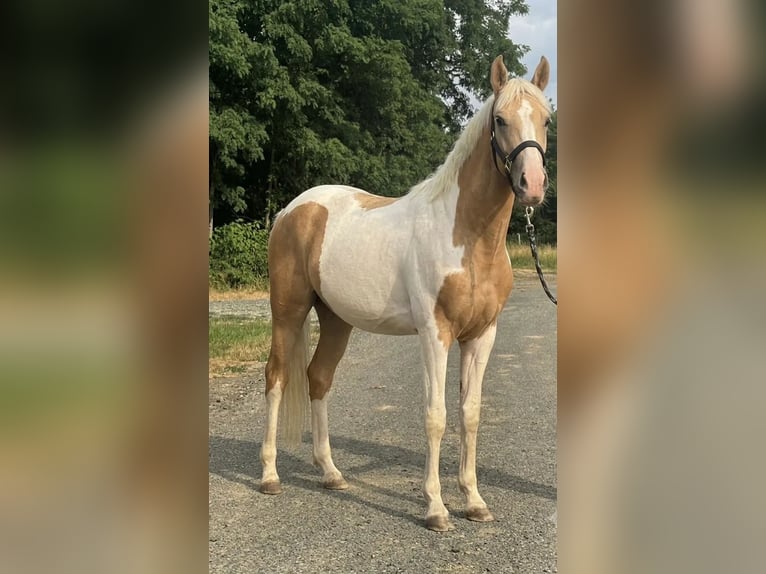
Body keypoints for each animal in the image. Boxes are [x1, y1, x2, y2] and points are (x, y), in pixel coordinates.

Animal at [259, 55, 551, 531]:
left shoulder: (482, 335)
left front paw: (474, 501)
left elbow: (470, 414)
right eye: (500, 119)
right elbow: (436, 416)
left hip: (336, 319)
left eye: (546, 119)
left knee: (318, 378)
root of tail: (291, 210)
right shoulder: (435, 333)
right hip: (288, 312)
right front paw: (435, 508)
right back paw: (269, 475)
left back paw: (332, 474)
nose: (532, 184)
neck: (466, 237)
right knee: (277, 378)